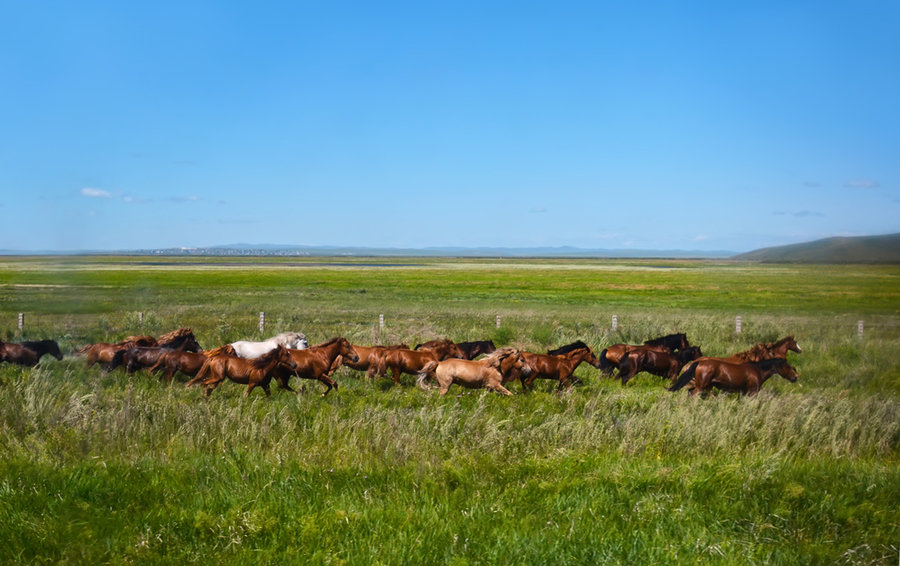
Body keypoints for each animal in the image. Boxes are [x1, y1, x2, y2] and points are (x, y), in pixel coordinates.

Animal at [668, 358, 800, 398]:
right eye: (788, 367)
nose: (795, 377)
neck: (758, 370)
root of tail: (699, 362)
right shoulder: (752, 392)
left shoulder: (745, 392)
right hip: (701, 386)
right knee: (692, 394)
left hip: (705, 386)